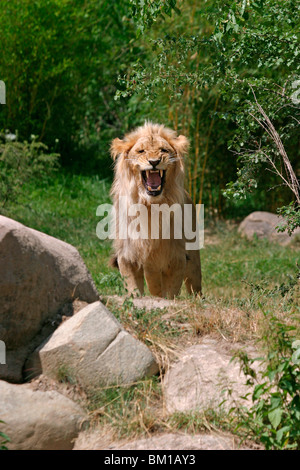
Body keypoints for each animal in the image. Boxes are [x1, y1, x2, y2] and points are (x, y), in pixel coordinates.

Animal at [109, 121, 202, 298]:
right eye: (141, 151)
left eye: (163, 150)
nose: (154, 161)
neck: (151, 206)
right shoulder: (127, 256)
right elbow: (133, 288)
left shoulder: (177, 258)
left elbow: (171, 292)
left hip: (193, 262)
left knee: (195, 286)